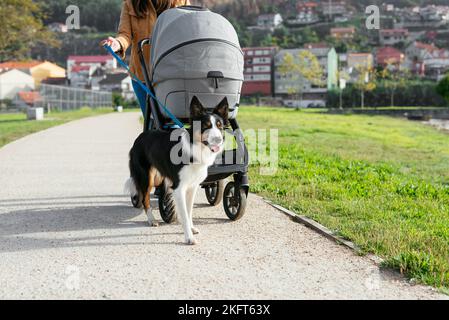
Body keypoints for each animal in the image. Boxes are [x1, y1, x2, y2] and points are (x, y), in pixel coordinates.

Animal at [124, 96, 226, 244]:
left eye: (219, 126)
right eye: (205, 126)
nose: (218, 139)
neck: (195, 149)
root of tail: (140, 137)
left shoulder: (192, 186)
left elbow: (189, 211)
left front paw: (192, 229)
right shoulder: (179, 188)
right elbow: (183, 214)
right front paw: (189, 238)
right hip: (147, 178)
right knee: (145, 199)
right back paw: (151, 220)